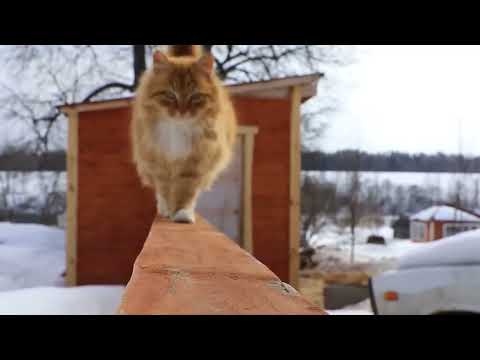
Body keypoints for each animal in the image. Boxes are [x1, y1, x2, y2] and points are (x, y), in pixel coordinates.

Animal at [130, 44, 237, 224]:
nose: (182, 111)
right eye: (170, 95)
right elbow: (165, 190)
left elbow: (185, 192)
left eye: (195, 96)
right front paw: (168, 210)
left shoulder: (193, 164)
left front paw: (182, 213)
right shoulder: (160, 163)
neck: (179, 128)